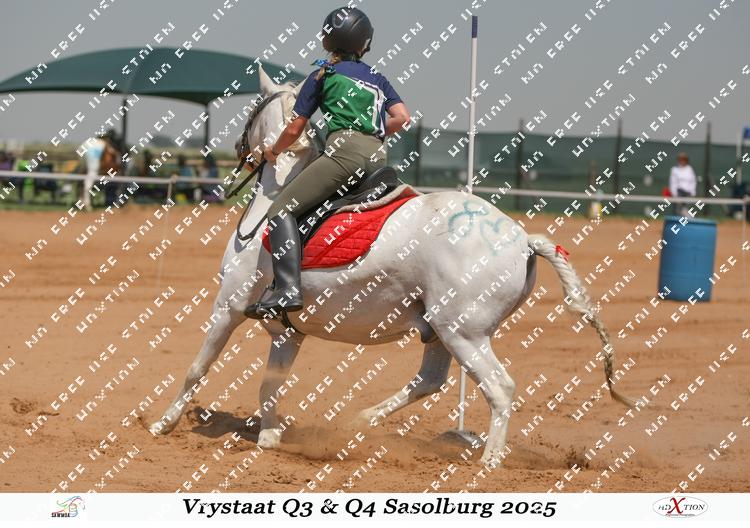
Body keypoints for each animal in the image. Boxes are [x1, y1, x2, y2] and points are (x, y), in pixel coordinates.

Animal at [149, 67, 633, 465]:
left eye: (251, 111)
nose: (236, 152)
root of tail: (523, 241)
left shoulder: (227, 307)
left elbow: (197, 368)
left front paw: (163, 424)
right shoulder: (288, 331)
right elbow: (271, 383)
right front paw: (269, 438)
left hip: (464, 332)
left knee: (500, 388)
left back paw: (489, 461)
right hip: (441, 327)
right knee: (431, 380)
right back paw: (358, 421)